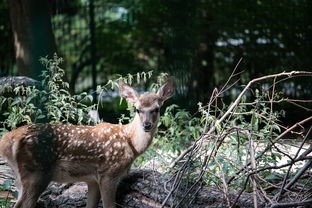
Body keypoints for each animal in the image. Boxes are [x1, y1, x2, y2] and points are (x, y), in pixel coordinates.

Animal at [0, 78, 174, 208]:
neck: (130, 142)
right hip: (35, 172)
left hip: (20, 177)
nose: (147, 125)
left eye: (157, 109)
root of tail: (7, 139)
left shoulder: (92, 180)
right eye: (137, 109)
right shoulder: (108, 173)